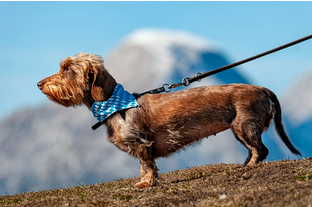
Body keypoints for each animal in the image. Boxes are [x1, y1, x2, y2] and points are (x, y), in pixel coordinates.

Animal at [37, 52, 302, 188]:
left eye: (67, 69)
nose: (39, 83)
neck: (115, 105)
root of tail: (263, 89)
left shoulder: (142, 143)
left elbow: (146, 166)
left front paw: (145, 184)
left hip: (244, 126)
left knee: (261, 150)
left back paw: (250, 167)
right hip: (240, 130)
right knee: (254, 150)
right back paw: (244, 165)